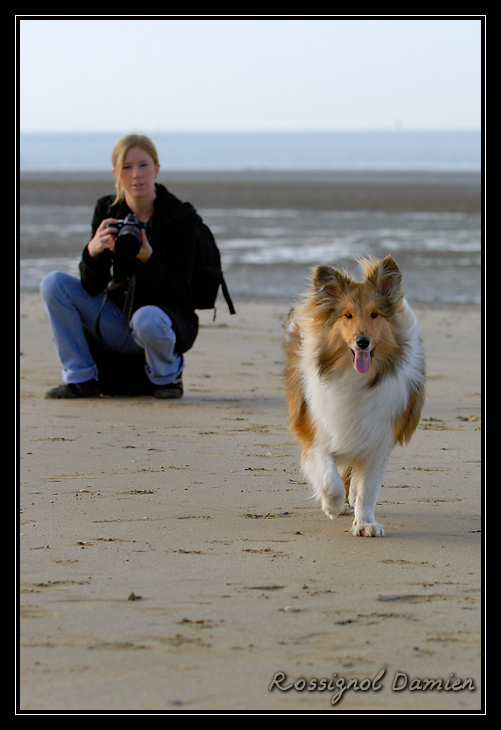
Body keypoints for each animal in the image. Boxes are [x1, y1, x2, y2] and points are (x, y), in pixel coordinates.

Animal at [284, 256, 424, 536]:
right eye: (347, 315)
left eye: (374, 314)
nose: (362, 341)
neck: (355, 379)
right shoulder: (316, 431)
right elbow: (330, 479)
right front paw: (332, 506)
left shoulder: (377, 438)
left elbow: (367, 490)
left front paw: (365, 523)